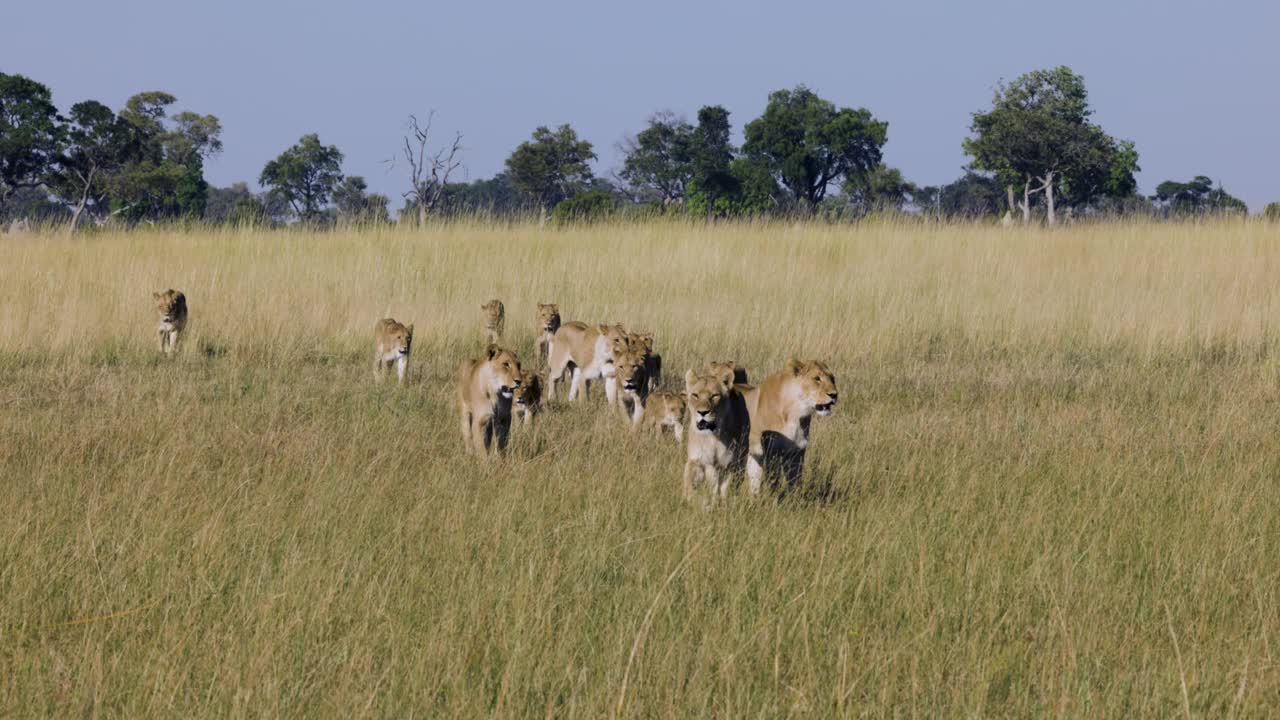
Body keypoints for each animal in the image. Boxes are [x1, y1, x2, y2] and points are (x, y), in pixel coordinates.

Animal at [680, 363, 747, 504]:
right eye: (695, 395)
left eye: (715, 396)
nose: (702, 412)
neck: (712, 436)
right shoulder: (697, 460)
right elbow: (690, 483)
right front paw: (695, 501)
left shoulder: (729, 465)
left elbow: (724, 490)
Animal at [742, 358, 839, 491]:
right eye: (817, 379)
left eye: (832, 378)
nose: (834, 395)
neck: (797, 415)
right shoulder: (772, 452)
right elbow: (774, 482)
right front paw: (773, 496)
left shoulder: (797, 452)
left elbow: (795, 482)